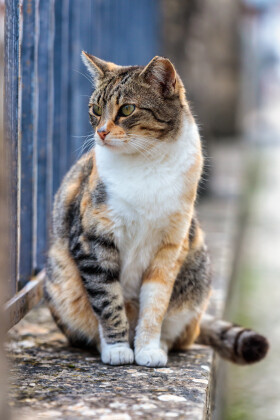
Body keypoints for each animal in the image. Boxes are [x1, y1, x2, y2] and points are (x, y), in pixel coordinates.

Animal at [44, 52, 270, 366]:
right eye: (95, 109)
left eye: (127, 109)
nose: (101, 132)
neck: (146, 160)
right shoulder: (93, 241)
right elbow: (108, 300)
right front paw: (117, 349)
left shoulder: (170, 246)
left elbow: (156, 303)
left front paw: (148, 349)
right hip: (59, 280)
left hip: (197, 271)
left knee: (181, 334)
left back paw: (160, 344)